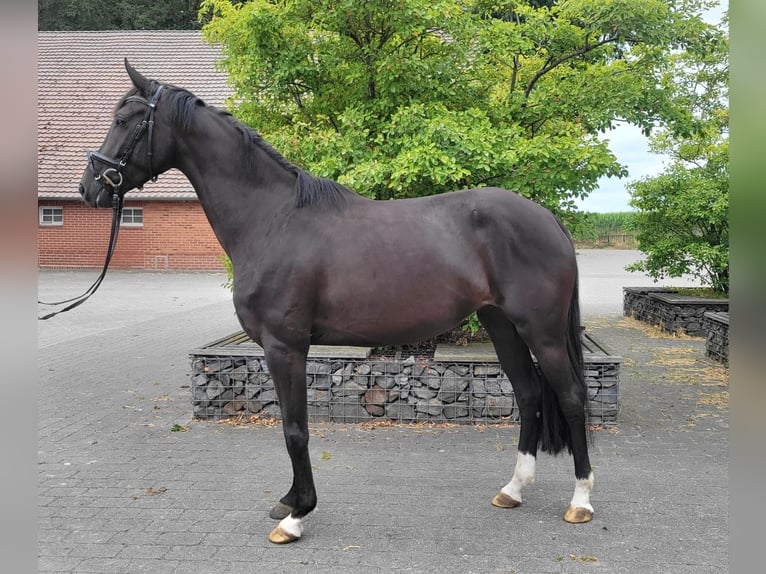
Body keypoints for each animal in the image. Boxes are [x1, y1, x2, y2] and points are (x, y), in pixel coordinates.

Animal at [79, 60, 595, 544]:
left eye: (124, 119)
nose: (90, 187)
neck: (273, 219)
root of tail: (546, 218)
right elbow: (291, 424)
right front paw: (289, 500)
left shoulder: (285, 346)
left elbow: (295, 429)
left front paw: (296, 516)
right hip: (501, 324)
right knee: (528, 395)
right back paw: (513, 490)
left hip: (542, 331)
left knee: (571, 397)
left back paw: (581, 502)